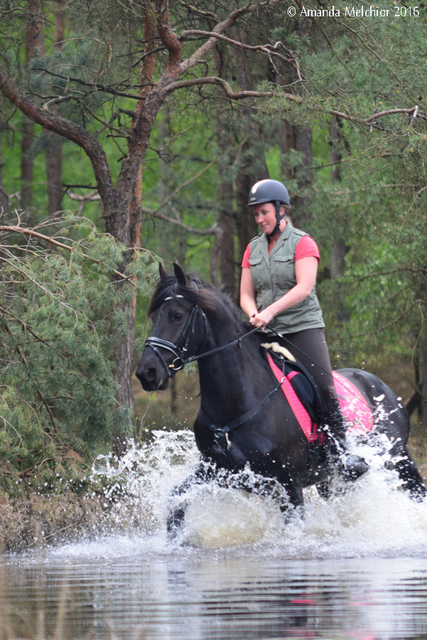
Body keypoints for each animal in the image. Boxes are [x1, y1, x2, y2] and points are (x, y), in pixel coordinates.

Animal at [135, 262, 426, 532]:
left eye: (177, 315)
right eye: (154, 316)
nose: (146, 373)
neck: (236, 405)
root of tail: (380, 385)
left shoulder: (288, 482)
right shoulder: (217, 471)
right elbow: (175, 502)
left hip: (395, 458)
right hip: (334, 481)